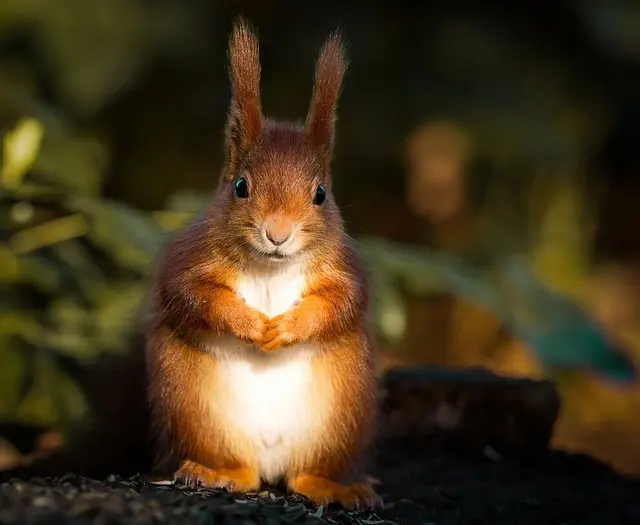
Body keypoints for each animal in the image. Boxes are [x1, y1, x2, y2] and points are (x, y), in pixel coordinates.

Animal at [144, 18, 381, 510]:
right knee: (245, 471)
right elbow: (191, 294)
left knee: (304, 475)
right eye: (240, 186)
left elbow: (343, 301)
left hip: (342, 409)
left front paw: (286, 328)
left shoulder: (343, 268)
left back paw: (337, 487)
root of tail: (272, 458)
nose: (278, 234)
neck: (271, 267)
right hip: (192, 401)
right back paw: (217, 472)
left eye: (320, 194)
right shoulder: (190, 258)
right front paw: (253, 325)